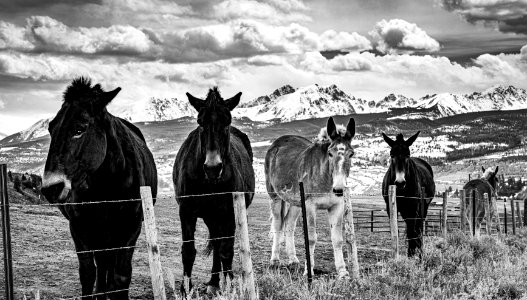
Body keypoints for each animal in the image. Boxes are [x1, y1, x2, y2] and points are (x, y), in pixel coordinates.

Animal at [41, 78, 158, 300]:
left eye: (79, 129)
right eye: (51, 129)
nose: (51, 188)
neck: (106, 187)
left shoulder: (131, 229)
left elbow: (121, 276)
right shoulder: (79, 229)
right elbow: (88, 274)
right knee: (103, 265)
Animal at [173, 86, 256, 296]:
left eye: (227, 122)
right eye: (200, 122)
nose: (212, 167)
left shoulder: (230, 213)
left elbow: (226, 251)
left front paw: (230, 287)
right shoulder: (186, 211)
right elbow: (188, 251)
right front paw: (186, 290)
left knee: (221, 246)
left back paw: (217, 282)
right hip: (211, 217)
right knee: (216, 243)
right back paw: (213, 281)